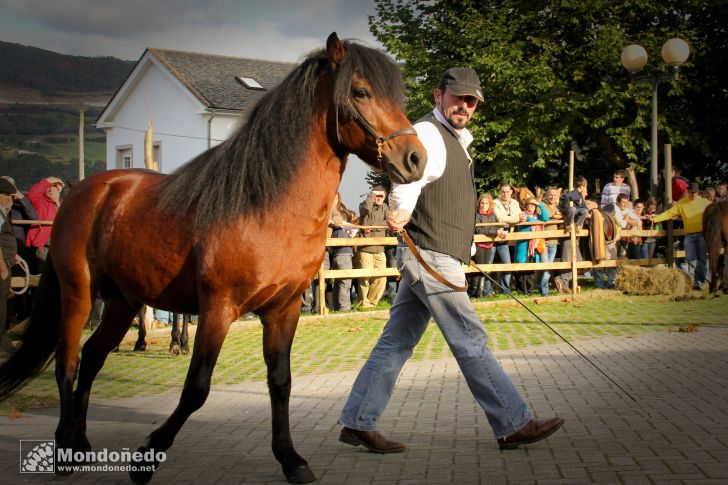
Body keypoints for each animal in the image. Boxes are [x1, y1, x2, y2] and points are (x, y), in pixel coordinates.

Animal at [0, 32, 426, 482]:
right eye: (361, 92)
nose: (416, 159)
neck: (265, 207)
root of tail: (86, 191)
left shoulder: (284, 309)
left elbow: (281, 382)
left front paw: (291, 459)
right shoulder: (219, 308)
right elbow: (196, 389)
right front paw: (146, 456)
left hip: (123, 300)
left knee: (93, 358)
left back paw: (80, 444)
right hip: (78, 293)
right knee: (67, 361)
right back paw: (65, 449)